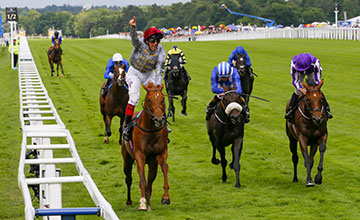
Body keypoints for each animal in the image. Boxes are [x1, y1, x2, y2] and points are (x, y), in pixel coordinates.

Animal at [121, 81, 170, 211]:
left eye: (163, 99)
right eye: (149, 100)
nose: (159, 119)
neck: (151, 130)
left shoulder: (161, 152)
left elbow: (164, 167)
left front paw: (166, 197)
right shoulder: (139, 155)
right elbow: (142, 179)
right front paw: (142, 203)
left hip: (152, 164)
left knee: (149, 185)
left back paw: (149, 205)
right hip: (127, 158)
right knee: (128, 179)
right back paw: (129, 201)